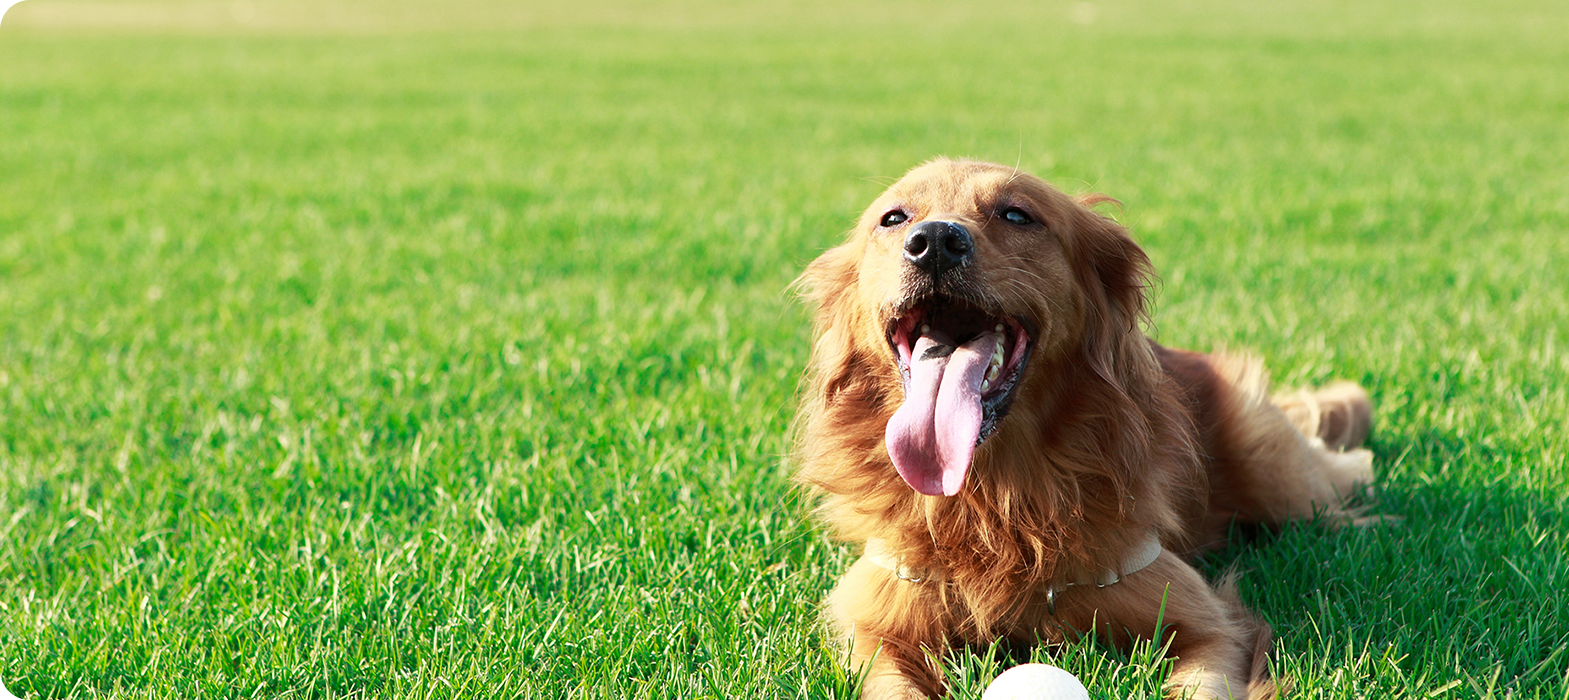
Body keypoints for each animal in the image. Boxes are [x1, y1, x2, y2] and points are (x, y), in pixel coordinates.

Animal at [797, 160, 1374, 700]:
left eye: (1016, 214)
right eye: (893, 218)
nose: (935, 241)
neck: (996, 503)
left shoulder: (1206, 620)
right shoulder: (874, 623)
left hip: (1280, 477)